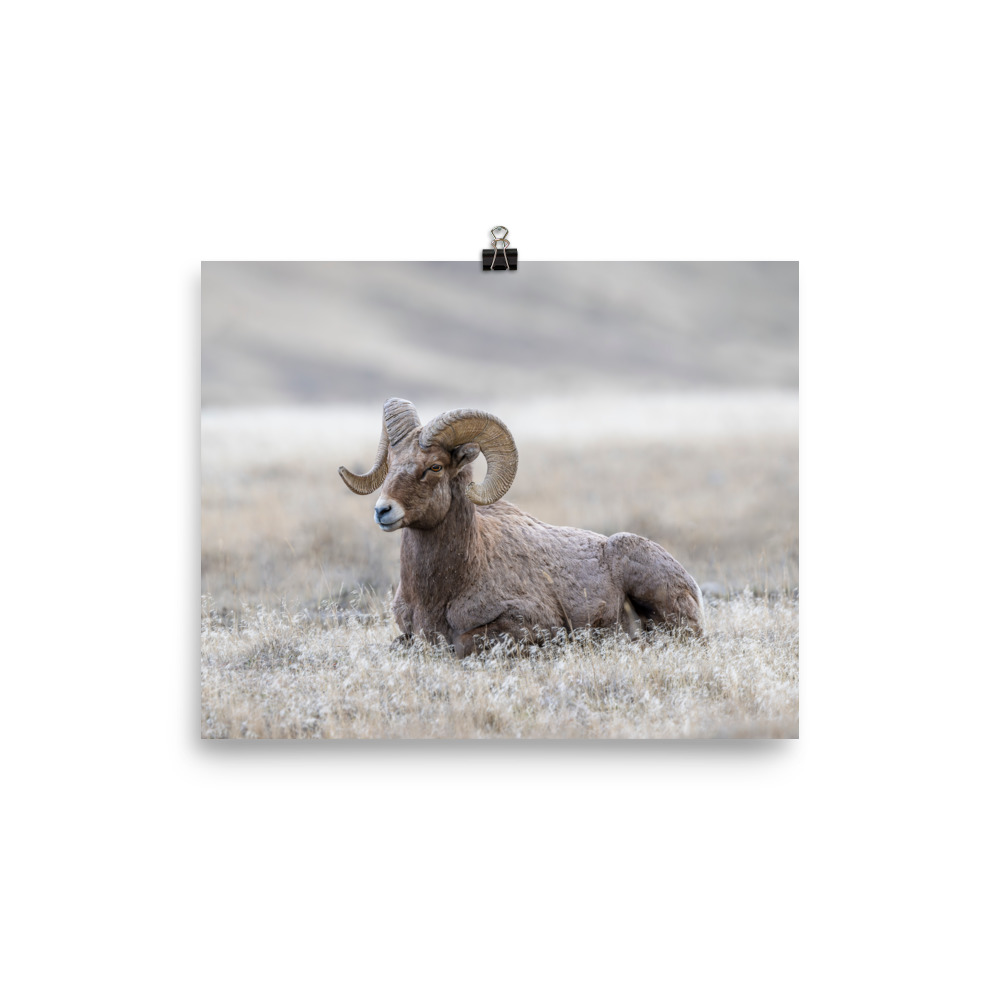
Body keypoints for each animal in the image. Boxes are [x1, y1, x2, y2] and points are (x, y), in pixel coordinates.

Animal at [339, 397, 704, 657]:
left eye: (435, 467)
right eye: (391, 464)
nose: (383, 511)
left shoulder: (529, 624)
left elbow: (464, 644)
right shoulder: (407, 633)